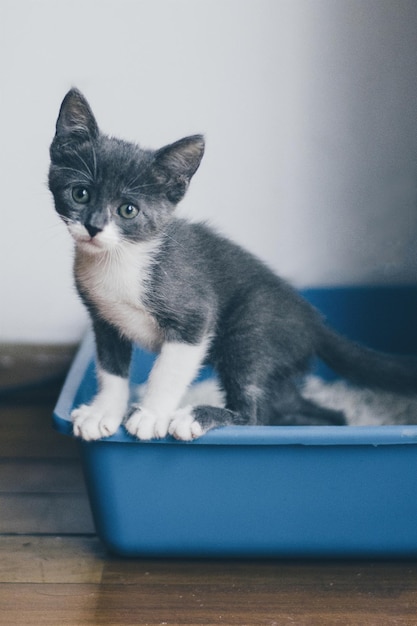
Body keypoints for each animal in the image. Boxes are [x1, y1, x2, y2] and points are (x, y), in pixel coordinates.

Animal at [48, 88, 416, 438]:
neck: (121, 257)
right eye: (80, 194)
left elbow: (167, 372)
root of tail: (314, 320)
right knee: (319, 412)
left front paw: (151, 415)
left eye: (128, 210)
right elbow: (110, 369)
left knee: (255, 414)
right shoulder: (104, 320)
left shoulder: (194, 317)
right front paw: (103, 413)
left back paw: (199, 417)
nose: (93, 227)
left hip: (252, 328)